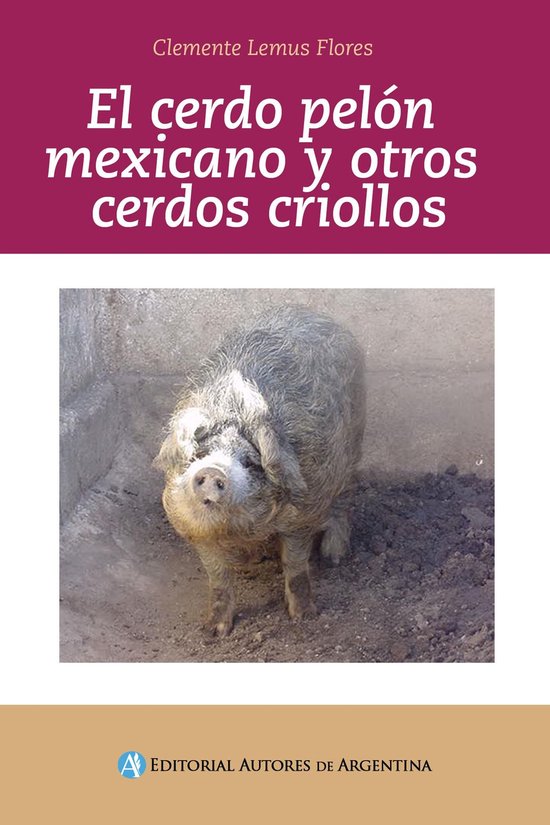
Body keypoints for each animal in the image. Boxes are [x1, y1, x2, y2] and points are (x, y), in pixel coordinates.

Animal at [154, 305, 365, 637]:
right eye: (200, 454)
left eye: (250, 462)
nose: (213, 471)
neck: (238, 526)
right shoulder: (191, 527)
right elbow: (218, 578)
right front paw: (215, 632)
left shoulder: (302, 514)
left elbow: (295, 566)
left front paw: (303, 617)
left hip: (354, 442)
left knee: (344, 499)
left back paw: (334, 557)